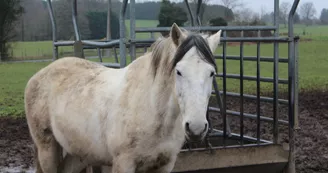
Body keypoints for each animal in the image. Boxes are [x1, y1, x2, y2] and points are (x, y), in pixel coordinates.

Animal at [24, 23, 222, 173]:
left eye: (211, 73)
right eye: (179, 71)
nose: (196, 128)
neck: (152, 110)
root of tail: (38, 76)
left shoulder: (164, 164)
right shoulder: (124, 163)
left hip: (76, 151)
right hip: (48, 148)